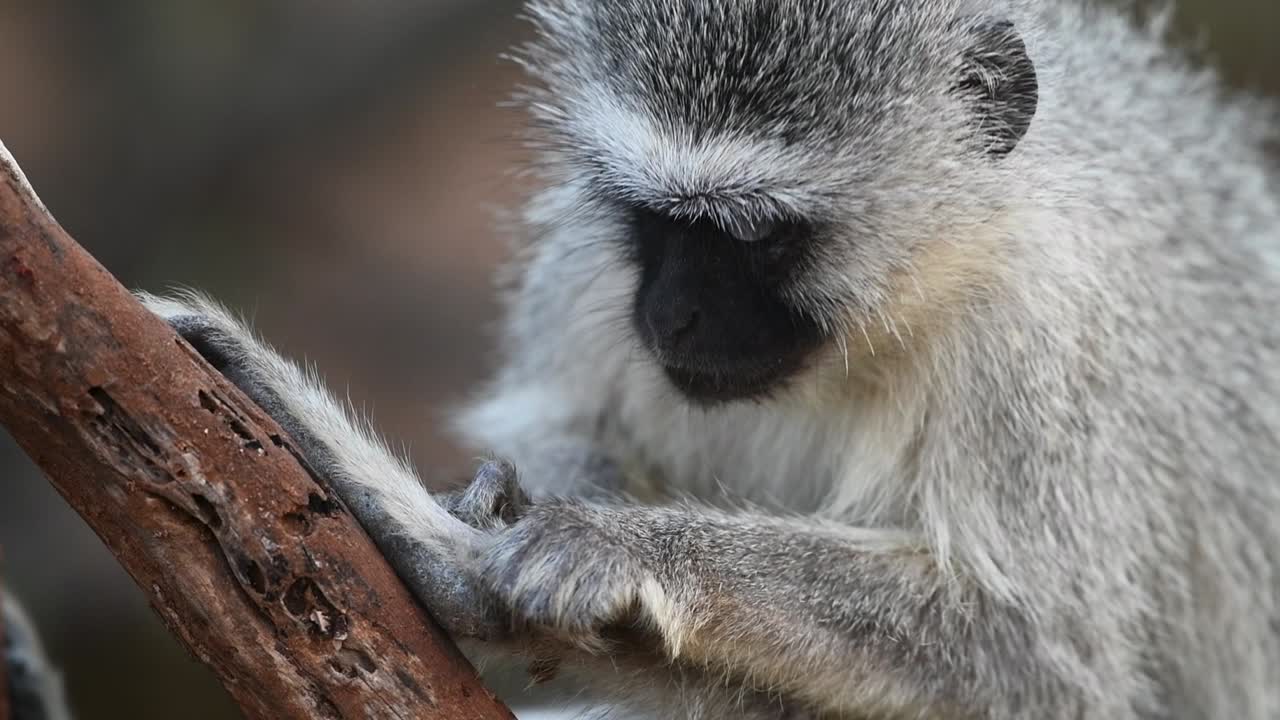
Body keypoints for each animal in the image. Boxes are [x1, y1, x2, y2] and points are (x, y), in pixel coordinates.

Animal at [135, 0, 1280, 717]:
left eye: (761, 238)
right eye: (661, 221)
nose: (674, 318)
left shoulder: (1039, 334)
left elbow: (1034, 656)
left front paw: (610, 547)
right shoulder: (590, 264)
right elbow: (561, 420)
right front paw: (485, 522)